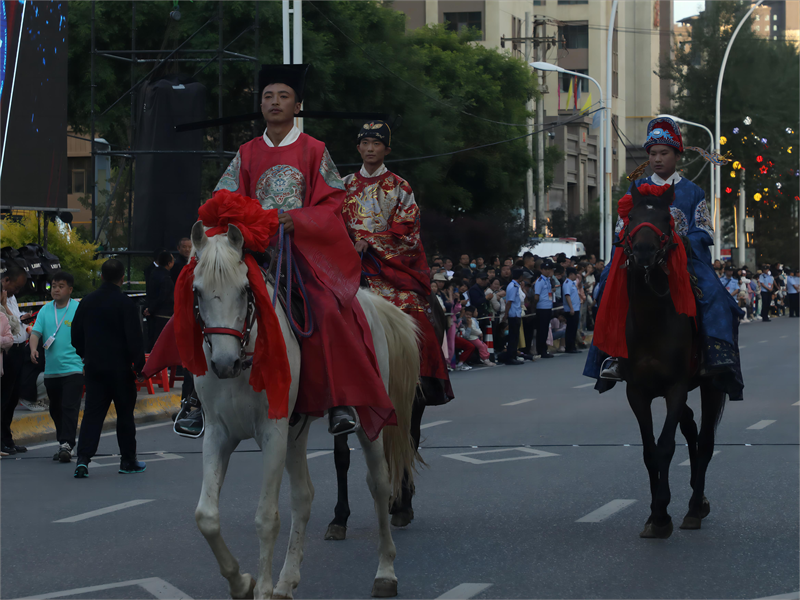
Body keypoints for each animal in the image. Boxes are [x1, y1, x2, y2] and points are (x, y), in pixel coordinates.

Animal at [190, 221, 422, 600]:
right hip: (295, 434)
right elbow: (207, 516)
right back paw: (287, 582)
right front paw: (241, 582)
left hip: (366, 419)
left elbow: (266, 517)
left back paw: (385, 573)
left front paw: (262, 588)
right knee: (303, 495)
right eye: (196, 292)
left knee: (379, 483)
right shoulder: (218, 433)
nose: (224, 363)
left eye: (244, 289)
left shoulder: (273, 431)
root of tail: (367, 299)